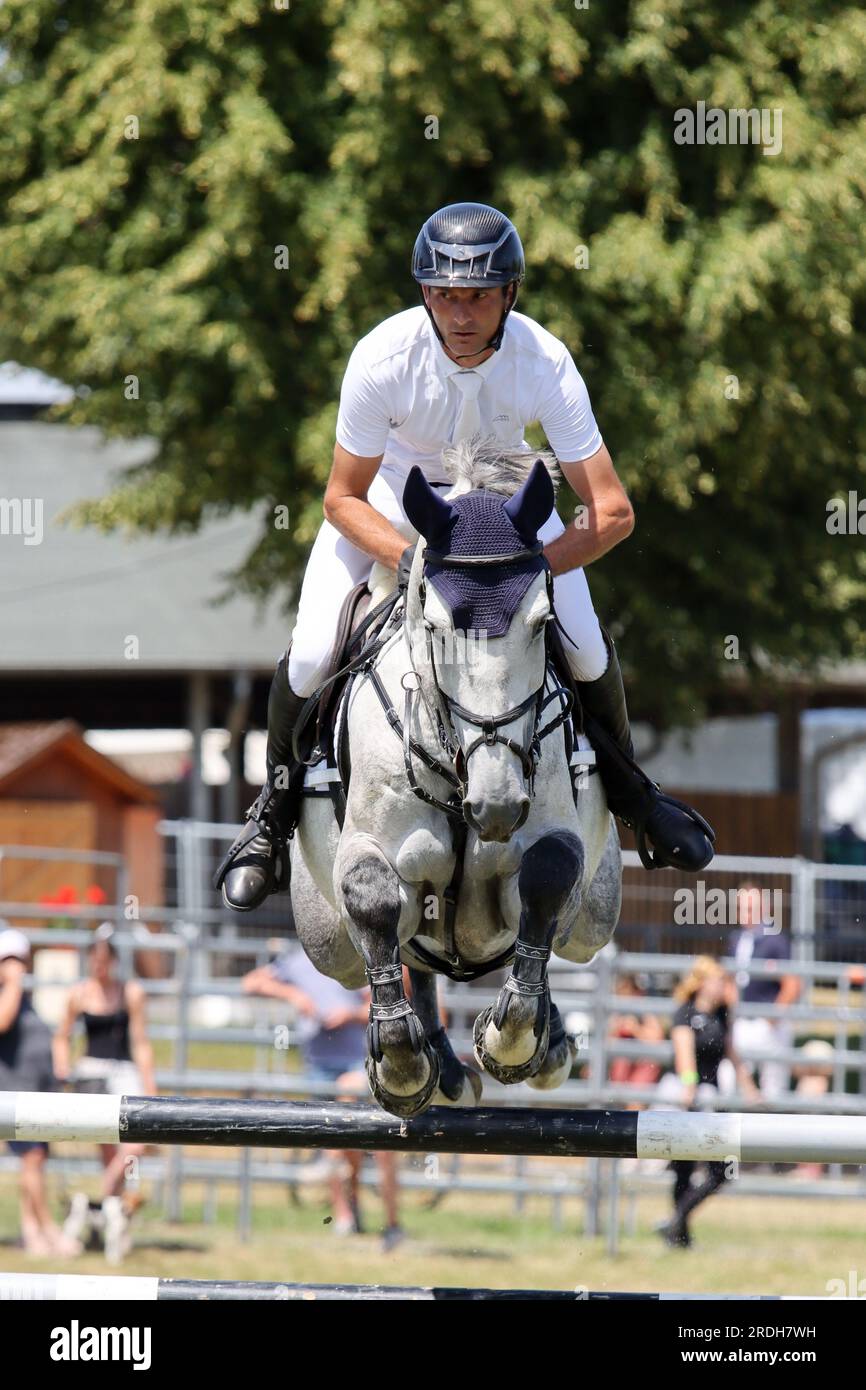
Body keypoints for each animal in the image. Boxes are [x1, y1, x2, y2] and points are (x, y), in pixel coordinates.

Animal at [291, 442, 622, 1117]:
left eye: (543, 622)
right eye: (437, 625)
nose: (496, 807)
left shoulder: (553, 838)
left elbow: (548, 875)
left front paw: (514, 1039)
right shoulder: (369, 850)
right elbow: (372, 898)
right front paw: (400, 1068)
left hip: (595, 916)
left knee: (560, 932)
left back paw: (545, 1043)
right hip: (325, 941)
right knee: (398, 951)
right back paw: (439, 1066)